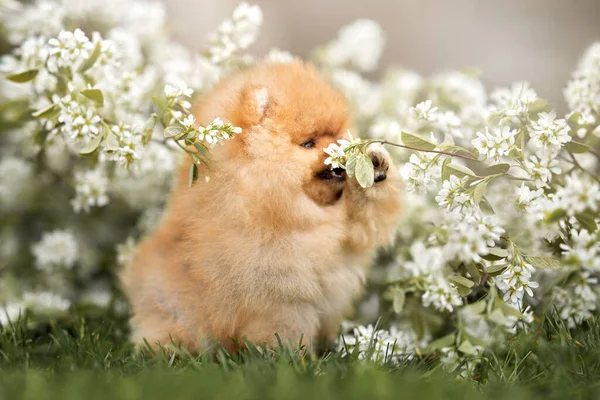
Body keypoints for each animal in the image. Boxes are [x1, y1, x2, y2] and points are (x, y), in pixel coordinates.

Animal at [122, 61, 404, 354]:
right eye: (309, 143)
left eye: (337, 134)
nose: (341, 149)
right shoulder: (280, 296)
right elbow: (284, 331)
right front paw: (293, 357)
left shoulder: (351, 229)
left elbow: (368, 219)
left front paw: (374, 164)